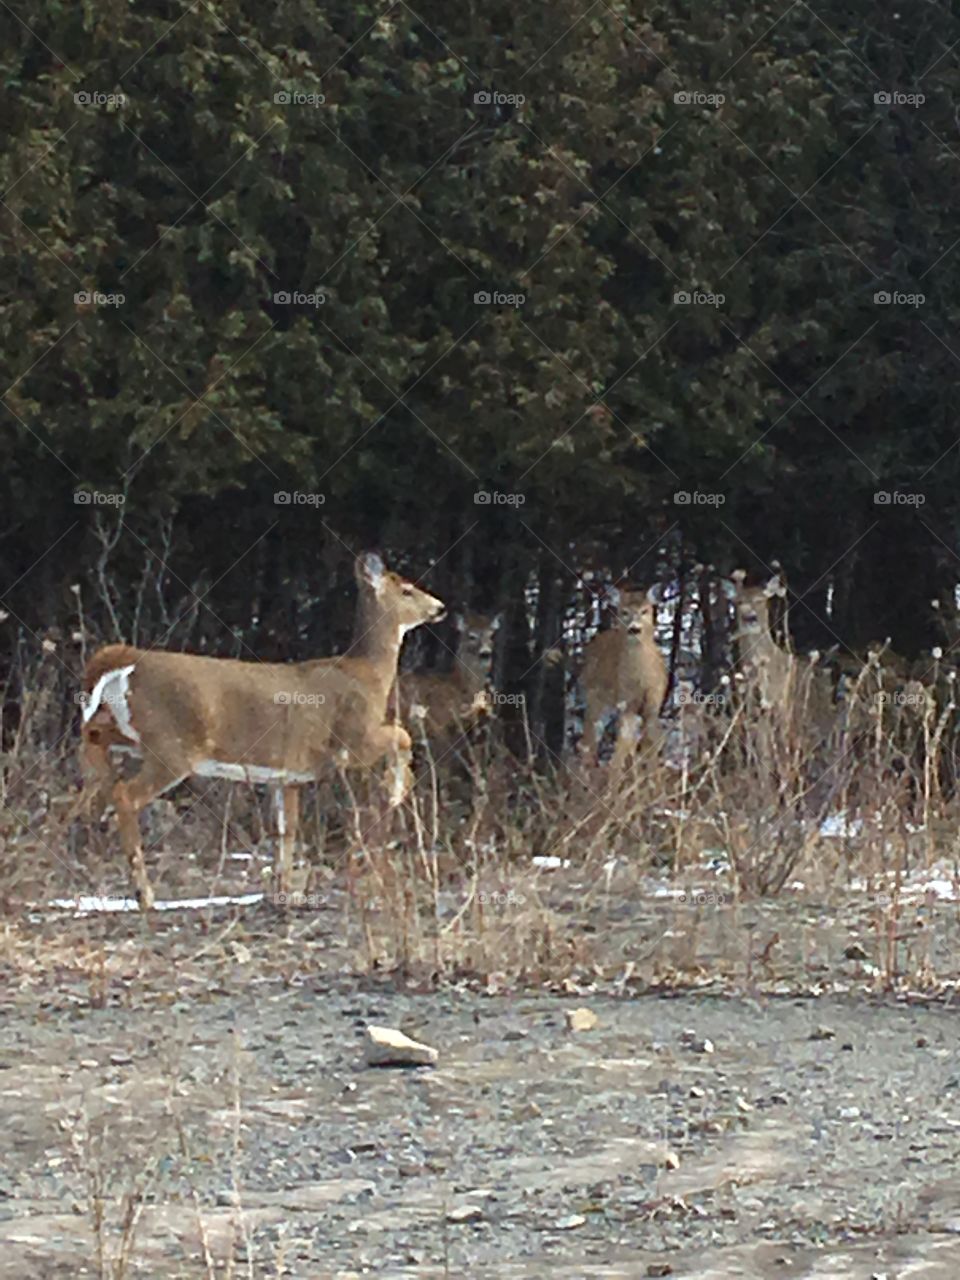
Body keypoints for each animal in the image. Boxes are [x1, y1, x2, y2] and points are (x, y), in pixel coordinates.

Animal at [79, 552, 445, 910]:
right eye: (407, 590)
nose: (440, 607)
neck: (368, 675)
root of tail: (130, 658)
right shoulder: (351, 739)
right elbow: (401, 734)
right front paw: (397, 788)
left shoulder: (289, 775)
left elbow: (286, 829)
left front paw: (286, 892)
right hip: (172, 744)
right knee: (126, 794)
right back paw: (144, 893)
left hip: (137, 733)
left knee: (93, 735)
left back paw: (97, 784)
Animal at [579, 585, 668, 768]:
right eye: (624, 612)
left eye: (645, 610)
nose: (634, 628)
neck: (641, 679)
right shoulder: (627, 700)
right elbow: (624, 742)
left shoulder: (654, 702)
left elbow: (650, 741)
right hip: (595, 696)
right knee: (590, 733)